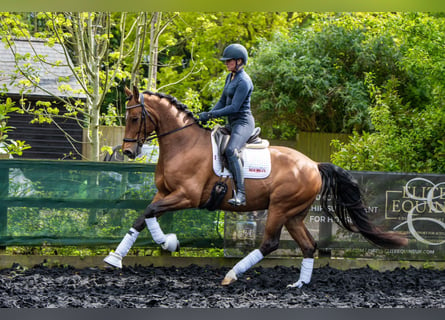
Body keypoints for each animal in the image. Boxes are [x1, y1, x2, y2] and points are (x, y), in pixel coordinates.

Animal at [103, 85, 406, 288]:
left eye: (134, 118)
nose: (128, 152)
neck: (182, 144)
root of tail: (313, 164)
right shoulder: (165, 193)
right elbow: (144, 216)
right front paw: (124, 255)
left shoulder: (186, 196)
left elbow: (149, 212)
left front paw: (162, 244)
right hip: (294, 214)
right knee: (309, 245)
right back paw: (299, 285)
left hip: (280, 208)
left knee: (270, 243)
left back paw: (232, 275)